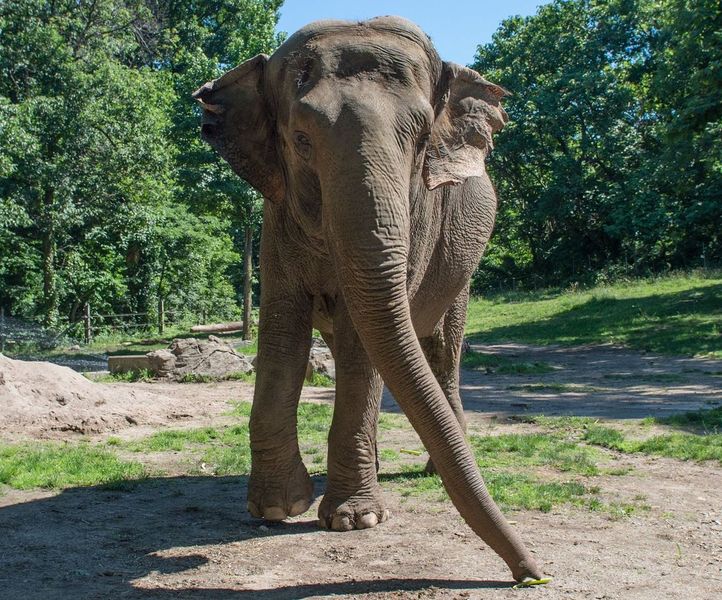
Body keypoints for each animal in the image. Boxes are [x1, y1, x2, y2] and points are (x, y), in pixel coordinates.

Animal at [194, 16, 546, 583]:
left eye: (422, 139)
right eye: (299, 139)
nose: (530, 573)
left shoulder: (421, 217)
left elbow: (364, 344)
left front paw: (354, 521)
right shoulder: (276, 217)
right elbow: (281, 335)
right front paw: (276, 509)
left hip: (462, 268)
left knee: (441, 349)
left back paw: (430, 467)